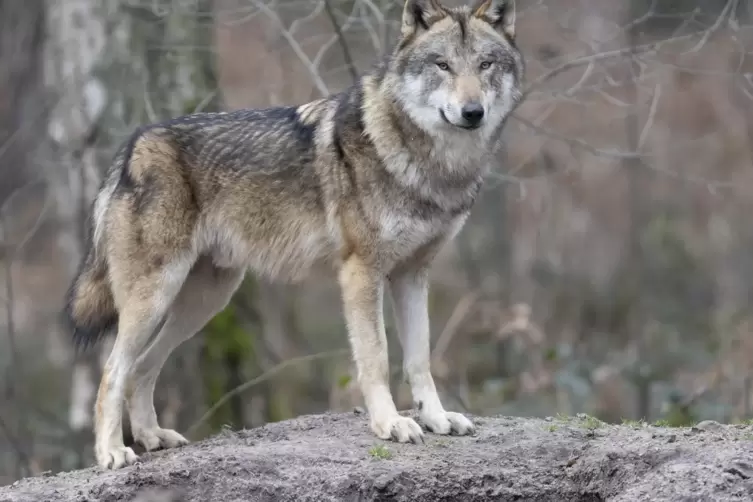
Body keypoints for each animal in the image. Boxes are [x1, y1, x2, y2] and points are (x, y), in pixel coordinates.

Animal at [64, 0, 524, 470]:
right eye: (442, 65)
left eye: (485, 64)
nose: (473, 112)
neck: (429, 165)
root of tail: (132, 147)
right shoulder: (362, 272)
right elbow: (376, 357)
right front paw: (390, 424)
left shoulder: (413, 275)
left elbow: (419, 359)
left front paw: (436, 418)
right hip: (156, 298)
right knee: (113, 372)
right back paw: (112, 452)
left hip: (204, 302)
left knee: (142, 368)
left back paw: (153, 436)